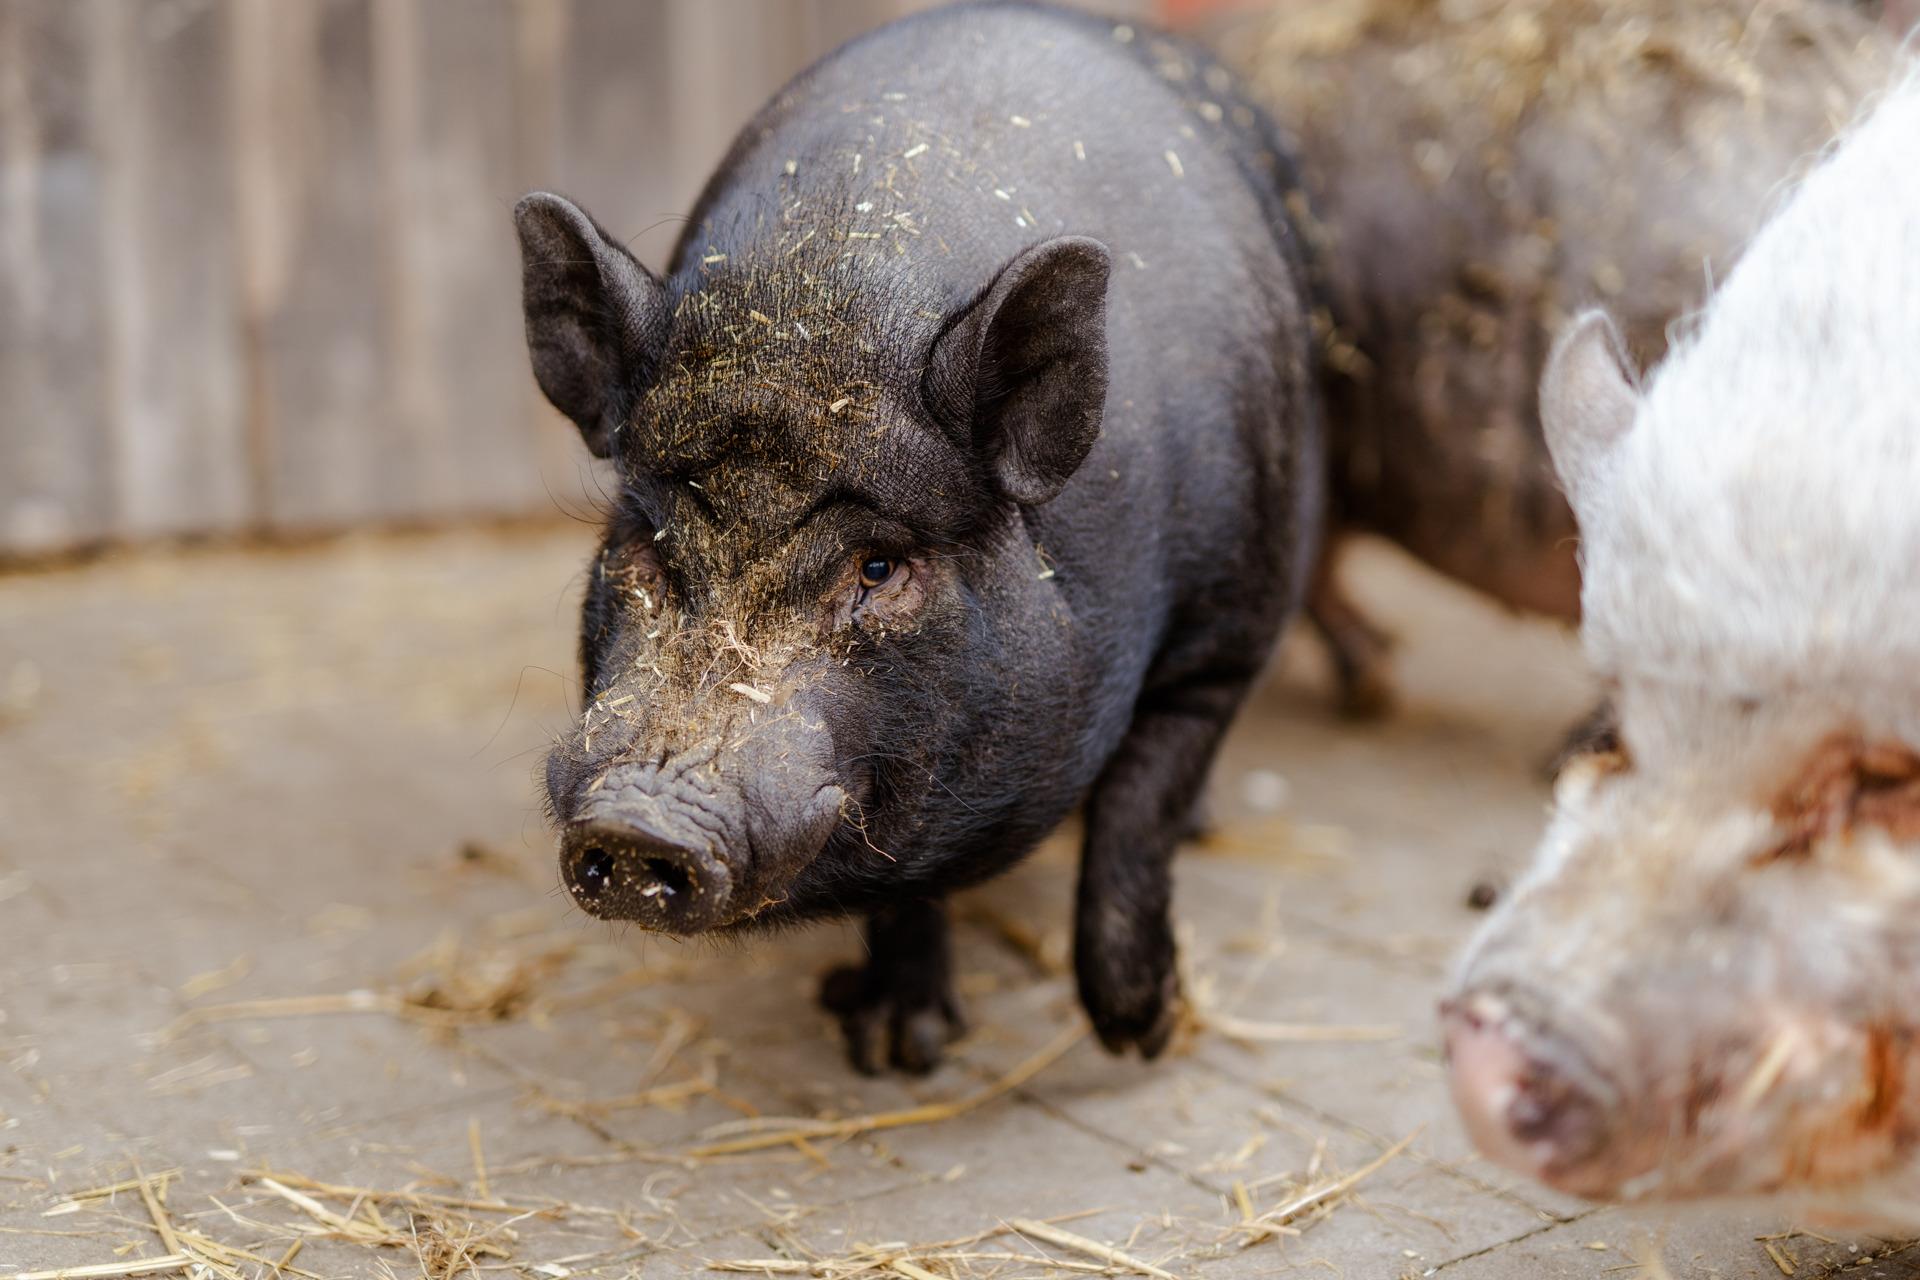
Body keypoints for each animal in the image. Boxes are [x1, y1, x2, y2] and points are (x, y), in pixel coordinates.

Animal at [513, 3, 1320, 1073]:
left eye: (880, 564)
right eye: (646, 540)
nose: (642, 823)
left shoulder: (1231, 627)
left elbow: (1136, 809)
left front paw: (1139, 1034)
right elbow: (905, 882)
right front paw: (899, 1050)